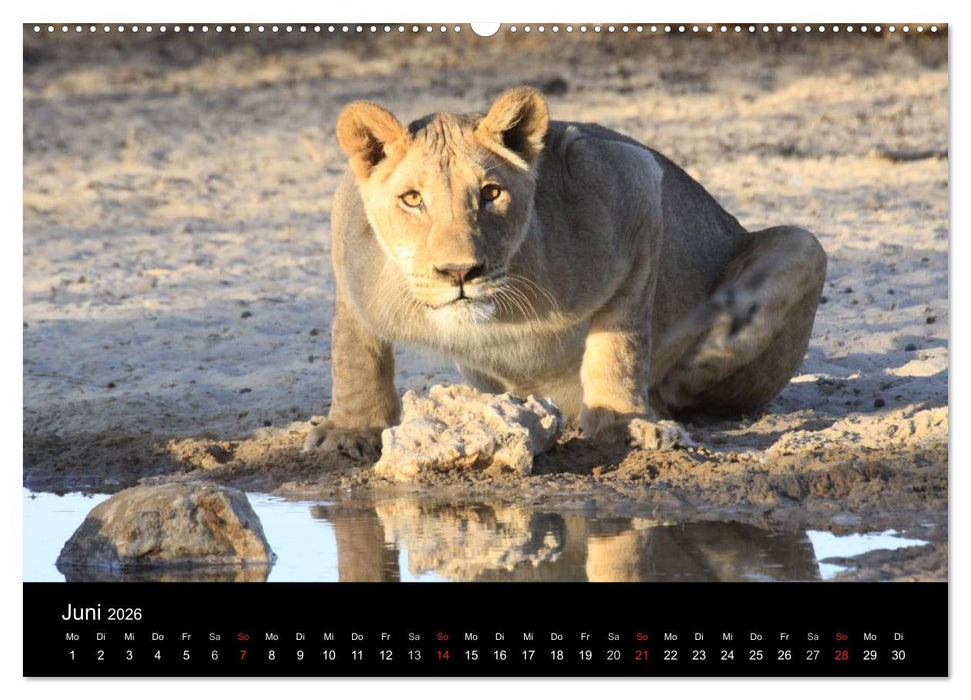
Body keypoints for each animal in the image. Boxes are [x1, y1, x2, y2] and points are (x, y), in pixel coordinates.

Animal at [304, 87, 827, 459]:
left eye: (491, 193)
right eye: (412, 199)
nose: (460, 272)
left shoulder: (633, 179)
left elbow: (620, 342)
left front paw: (623, 421)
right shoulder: (347, 244)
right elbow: (354, 354)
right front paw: (350, 430)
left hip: (806, 246)